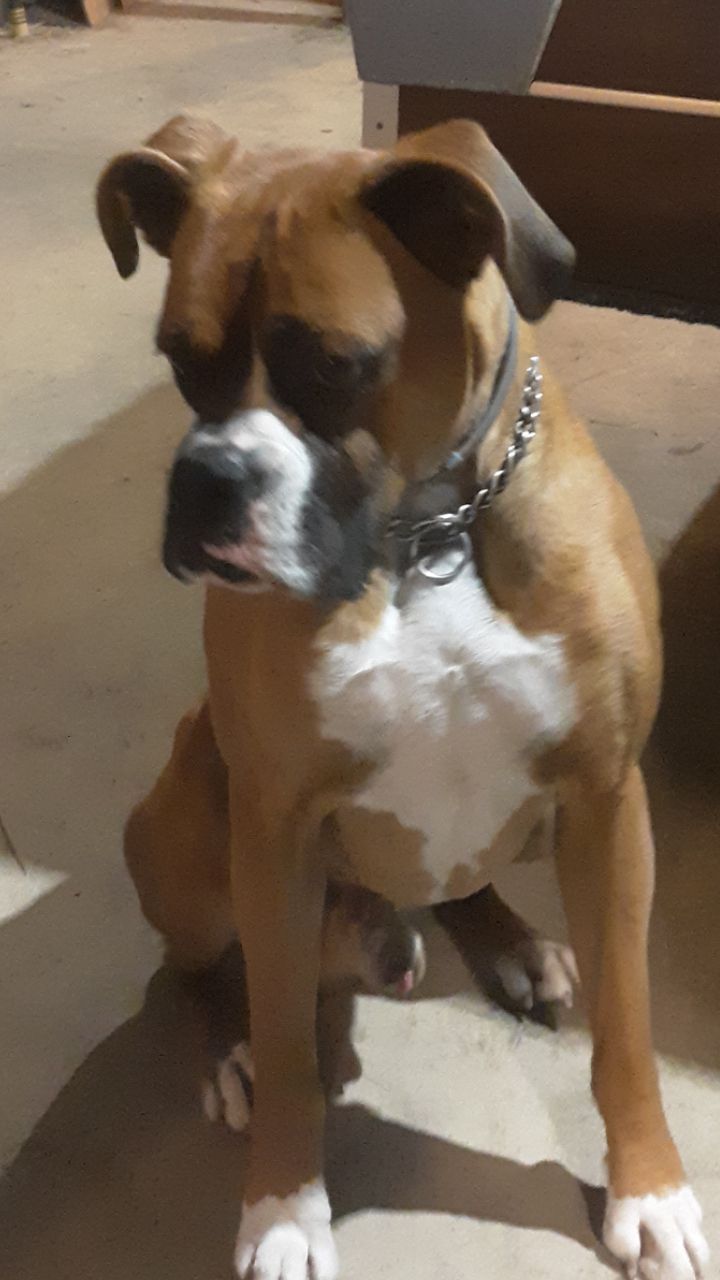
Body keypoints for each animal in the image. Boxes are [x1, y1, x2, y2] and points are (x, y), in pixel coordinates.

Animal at [97, 114, 708, 1280]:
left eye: (337, 366)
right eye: (177, 361)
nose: (206, 480)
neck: (430, 530)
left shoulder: (609, 802)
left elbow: (627, 1030)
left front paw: (650, 1190)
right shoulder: (276, 823)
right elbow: (289, 1040)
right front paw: (283, 1209)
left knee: (464, 882)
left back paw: (512, 944)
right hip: (192, 813)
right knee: (193, 967)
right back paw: (227, 1045)